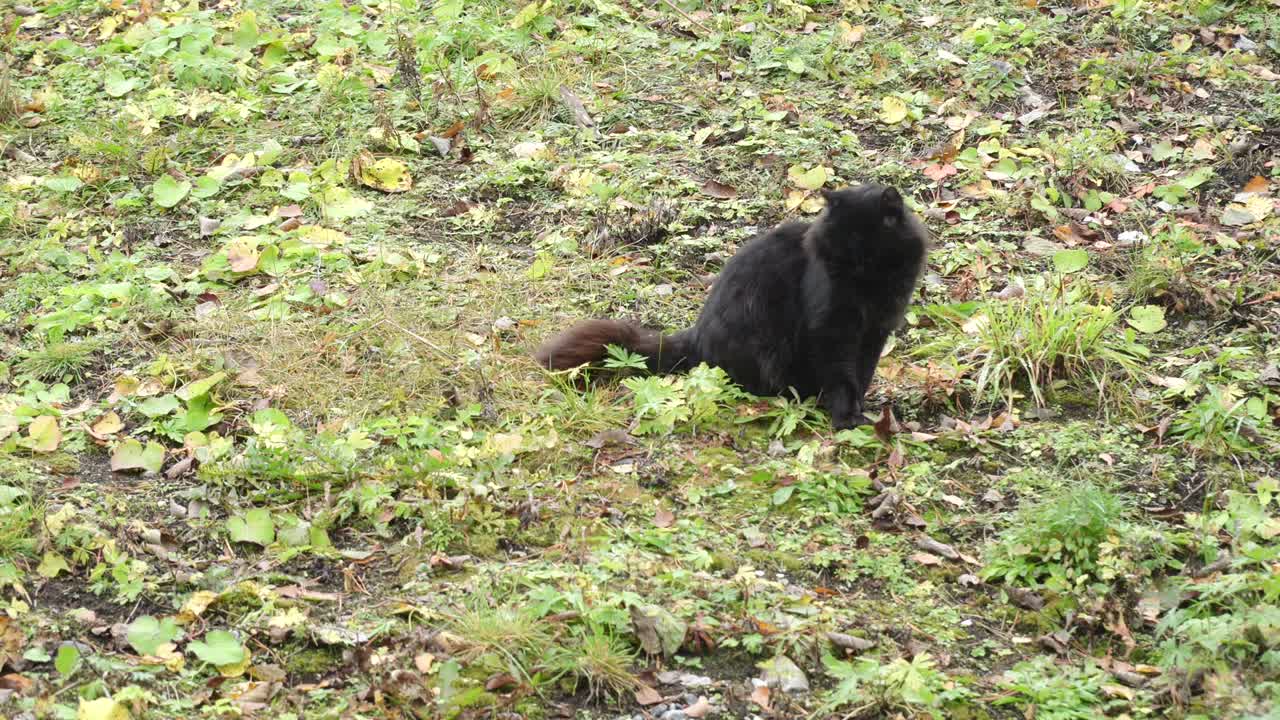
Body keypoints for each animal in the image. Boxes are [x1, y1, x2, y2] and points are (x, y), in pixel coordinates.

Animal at [535, 181, 926, 425]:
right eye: (837, 252)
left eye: (864, 249)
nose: (847, 268)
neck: (870, 288)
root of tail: (695, 336)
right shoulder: (832, 328)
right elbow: (842, 376)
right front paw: (846, 416)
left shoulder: (875, 329)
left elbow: (862, 373)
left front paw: (863, 409)